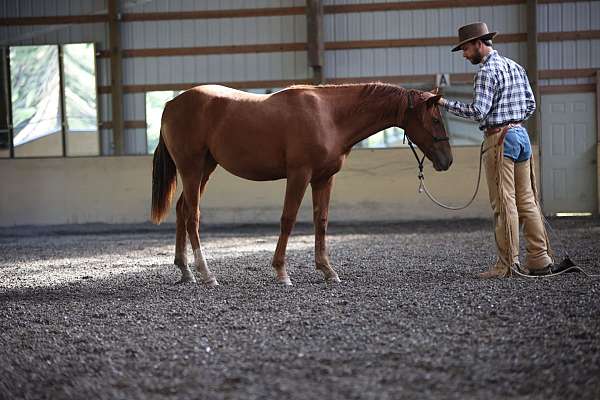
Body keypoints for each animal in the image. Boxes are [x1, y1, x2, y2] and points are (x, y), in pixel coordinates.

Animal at [150, 83, 450, 284]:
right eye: (435, 119)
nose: (447, 160)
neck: (329, 116)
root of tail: (171, 105)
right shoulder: (299, 174)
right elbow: (289, 219)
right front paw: (281, 272)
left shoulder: (323, 178)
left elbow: (321, 221)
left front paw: (328, 271)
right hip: (192, 168)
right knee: (192, 216)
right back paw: (206, 274)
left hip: (204, 169)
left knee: (182, 210)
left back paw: (185, 271)